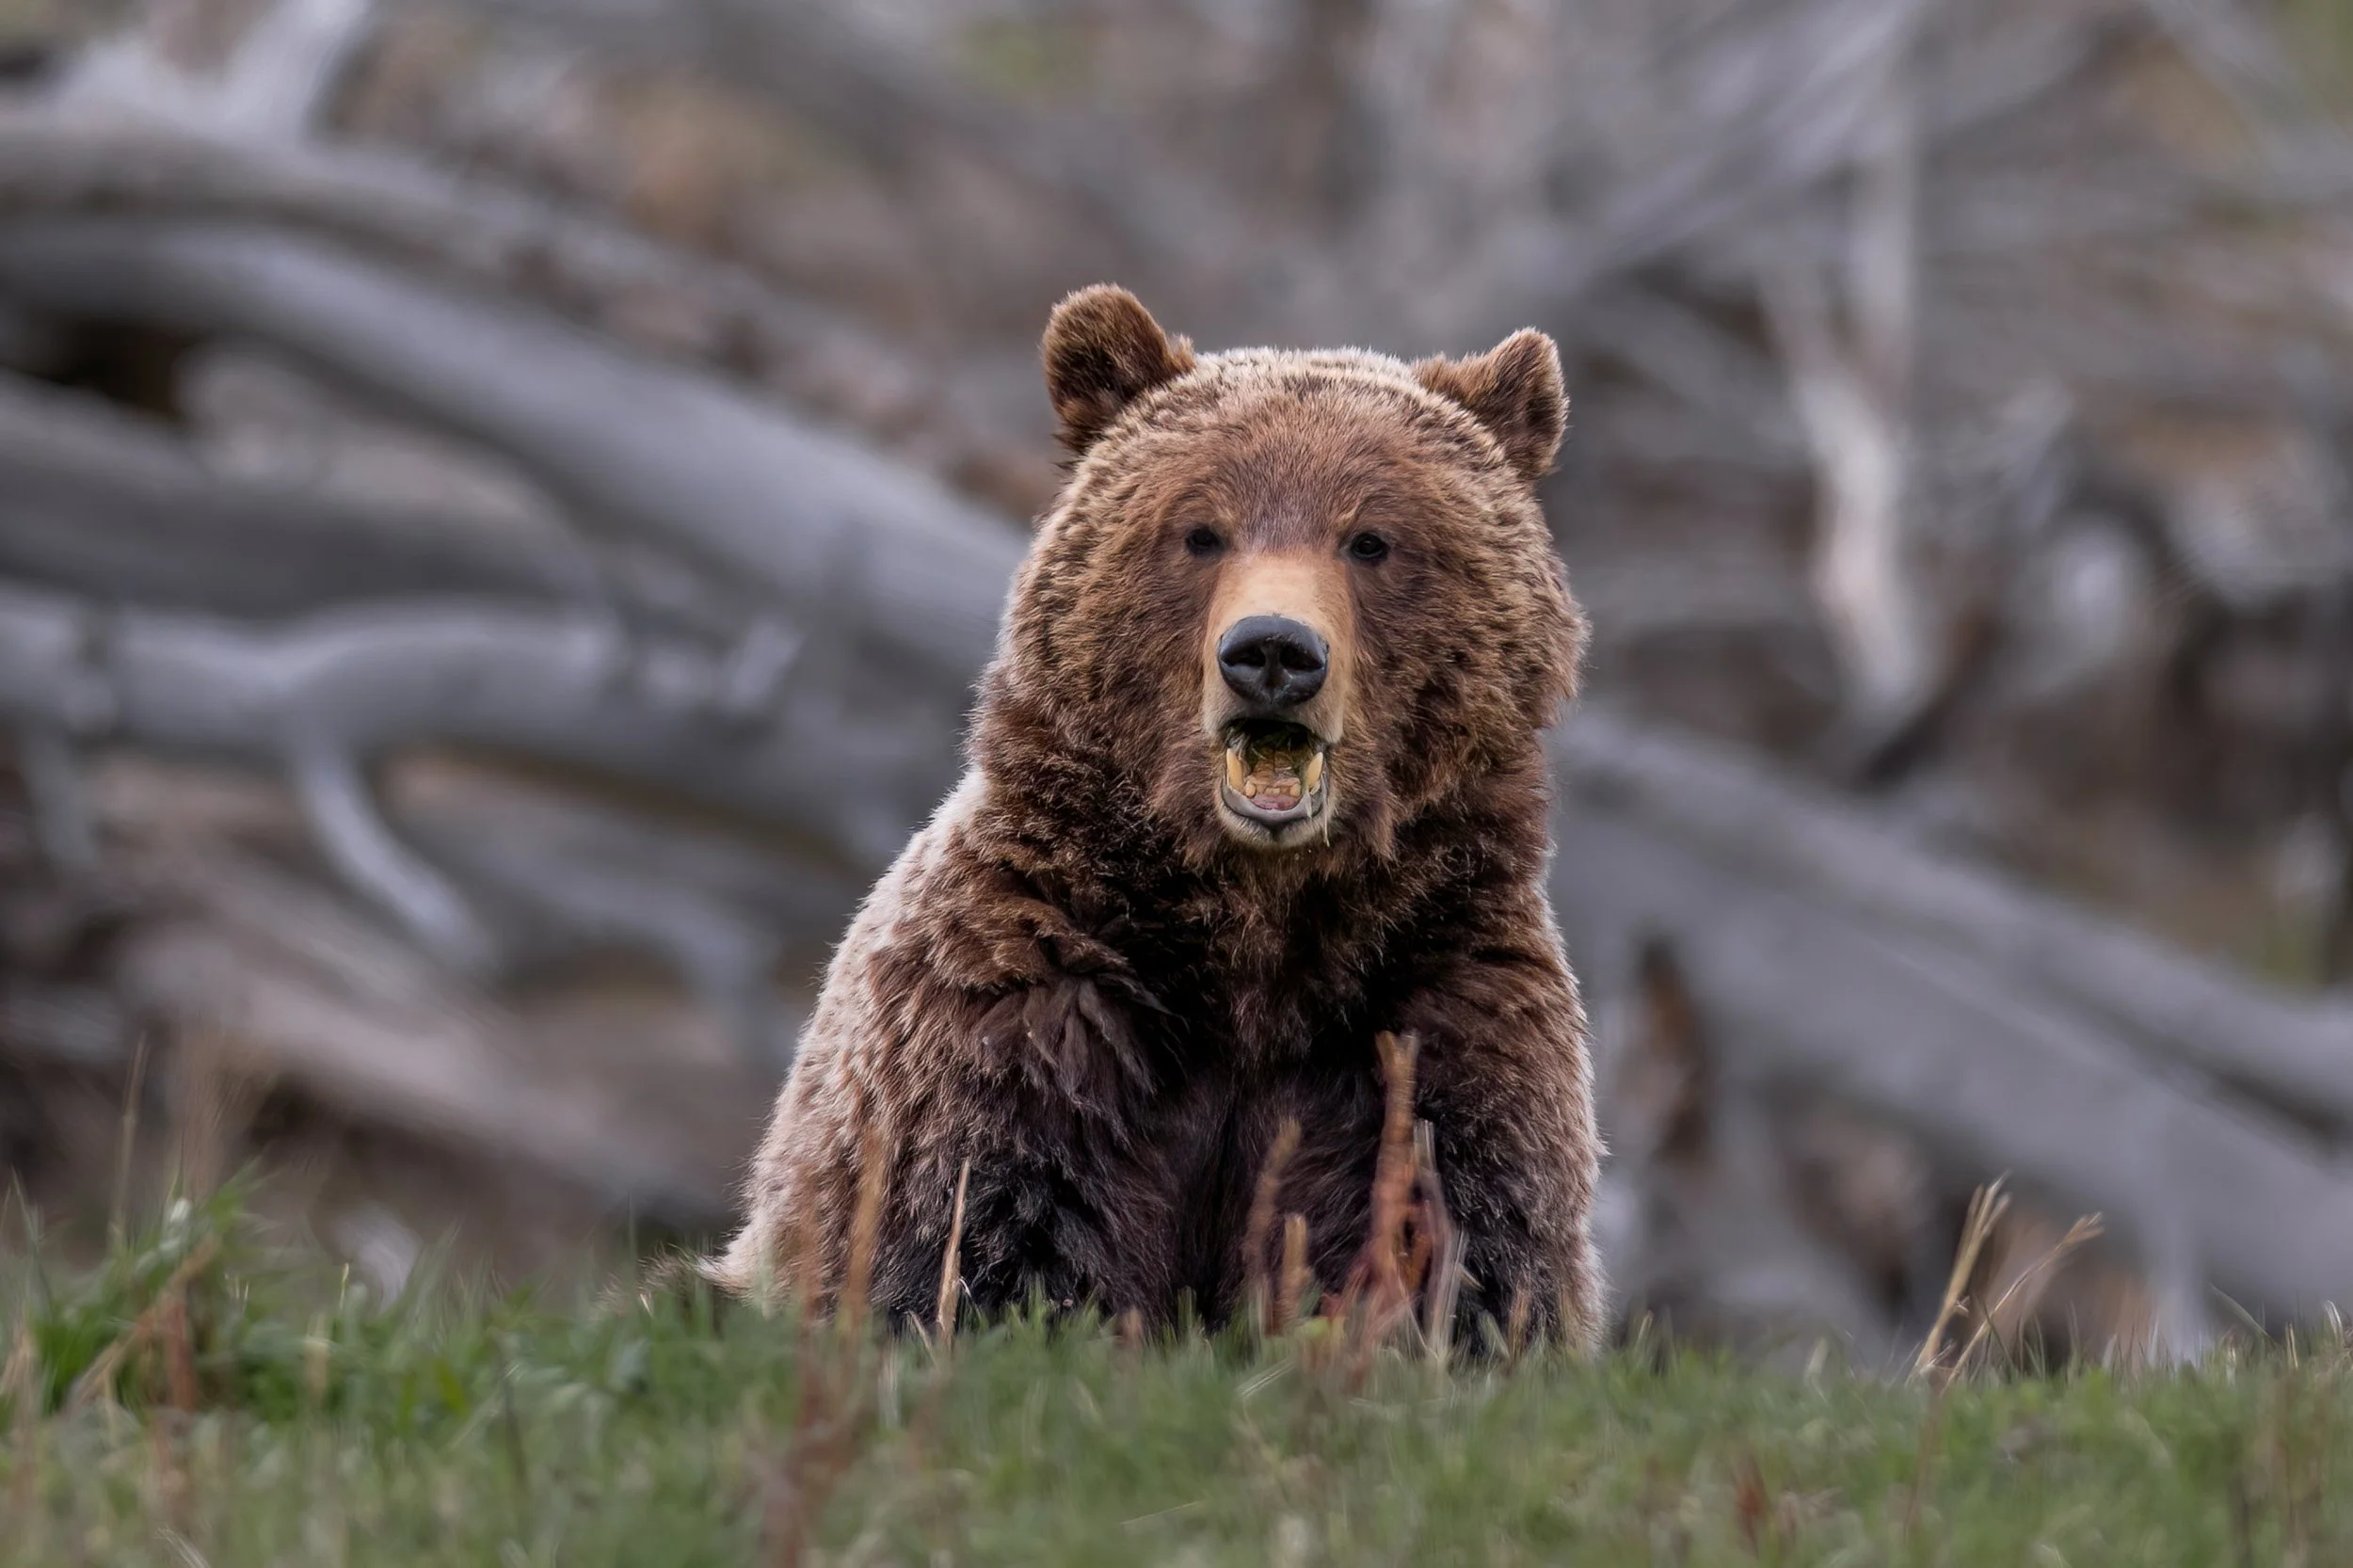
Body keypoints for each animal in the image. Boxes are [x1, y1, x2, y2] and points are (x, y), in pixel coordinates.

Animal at [712, 284, 1604, 1349]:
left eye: (1371, 538)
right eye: (1201, 529)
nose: (1273, 651)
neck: (1259, 944)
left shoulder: (1436, 1026)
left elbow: (1465, 1262)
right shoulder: (1023, 1017)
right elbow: (974, 1244)